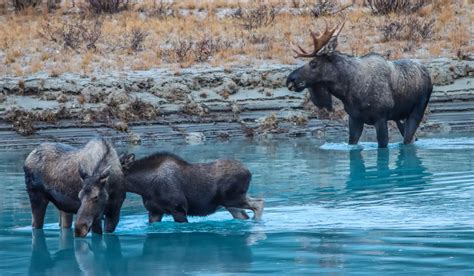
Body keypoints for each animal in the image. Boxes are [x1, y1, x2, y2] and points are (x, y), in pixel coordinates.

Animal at [286, 20, 434, 148]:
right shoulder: (355, 118)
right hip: (400, 118)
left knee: (408, 139)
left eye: (314, 63)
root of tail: (428, 74)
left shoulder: (380, 118)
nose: (290, 80)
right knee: (412, 138)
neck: (347, 91)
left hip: (417, 111)